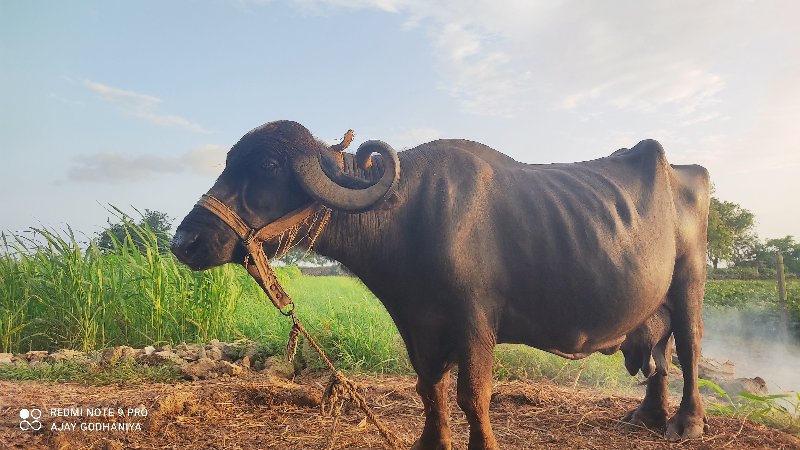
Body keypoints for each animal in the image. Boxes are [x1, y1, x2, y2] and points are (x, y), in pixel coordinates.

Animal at [172, 120, 708, 450]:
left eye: (267, 166)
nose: (184, 241)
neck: (406, 215)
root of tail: (688, 172)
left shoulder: (475, 320)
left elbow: (473, 393)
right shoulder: (417, 322)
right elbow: (428, 386)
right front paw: (432, 441)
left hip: (690, 283)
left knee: (688, 348)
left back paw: (687, 421)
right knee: (659, 358)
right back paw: (648, 416)